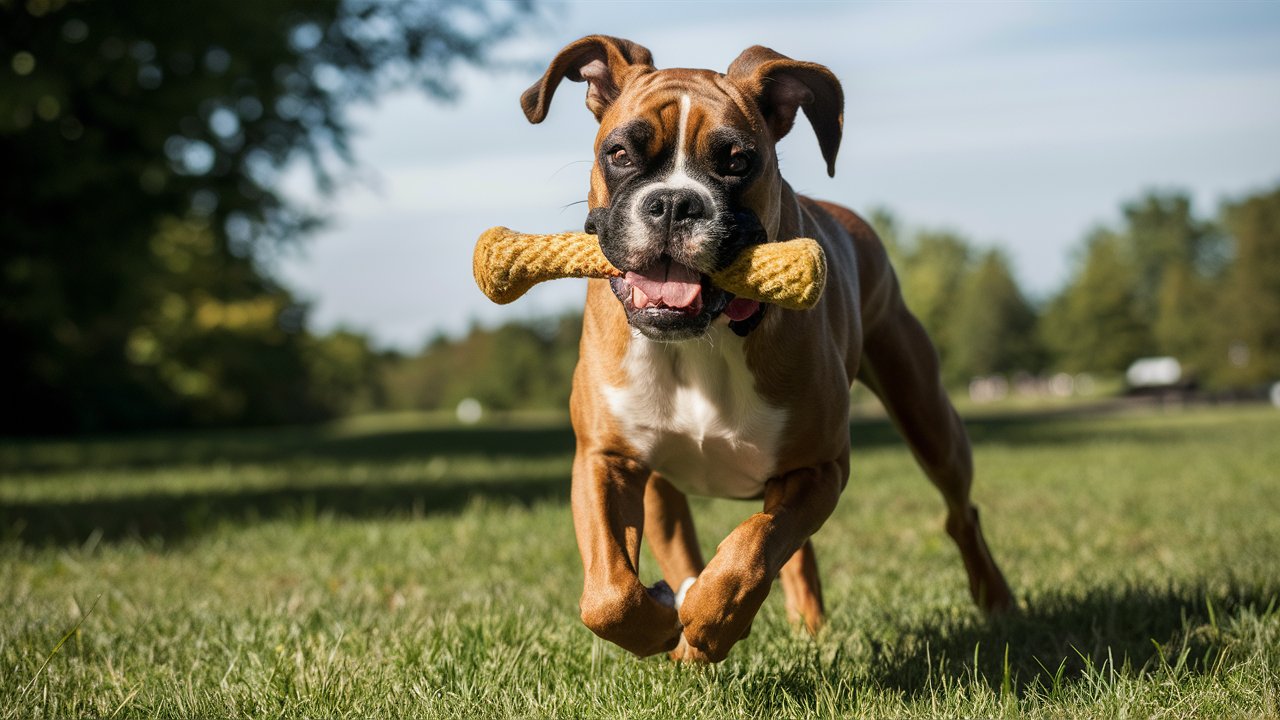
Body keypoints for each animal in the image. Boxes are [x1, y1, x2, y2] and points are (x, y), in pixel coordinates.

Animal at [517, 35, 1008, 661]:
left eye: (736, 161)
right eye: (621, 153)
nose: (674, 203)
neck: (707, 336)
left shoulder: (818, 468)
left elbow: (750, 549)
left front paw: (709, 619)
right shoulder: (607, 460)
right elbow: (610, 594)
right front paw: (665, 624)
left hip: (927, 417)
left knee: (957, 513)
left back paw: (996, 600)